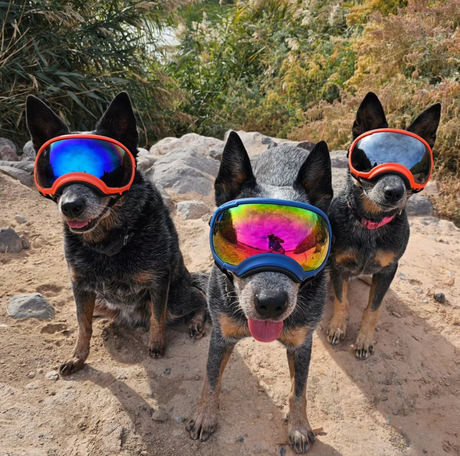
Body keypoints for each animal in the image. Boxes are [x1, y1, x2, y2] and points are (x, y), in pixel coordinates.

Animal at [26, 91, 208, 374]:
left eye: (105, 170)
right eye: (55, 171)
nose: (70, 206)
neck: (109, 242)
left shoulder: (159, 283)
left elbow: (157, 318)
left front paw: (156, 345)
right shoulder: (80, 286)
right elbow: (83, 325)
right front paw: (78, 356)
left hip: (176, 299)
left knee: (200, 298)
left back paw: (197, 322)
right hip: (102, 303)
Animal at [185, 131, 332, 452]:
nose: (271, 303)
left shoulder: (302, 343)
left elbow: (298, 391)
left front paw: (299, 427)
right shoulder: (222, 336)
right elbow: (210, 379)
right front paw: (204, 416)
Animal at [328, 91, 442, 360]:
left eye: (415, 167)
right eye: (371, 159)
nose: (394, 192)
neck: (371, 224)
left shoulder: (388, 269)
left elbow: (372, 308)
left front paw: (364, 339)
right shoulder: (338, 266)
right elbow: (341, 300)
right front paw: (338, 326)